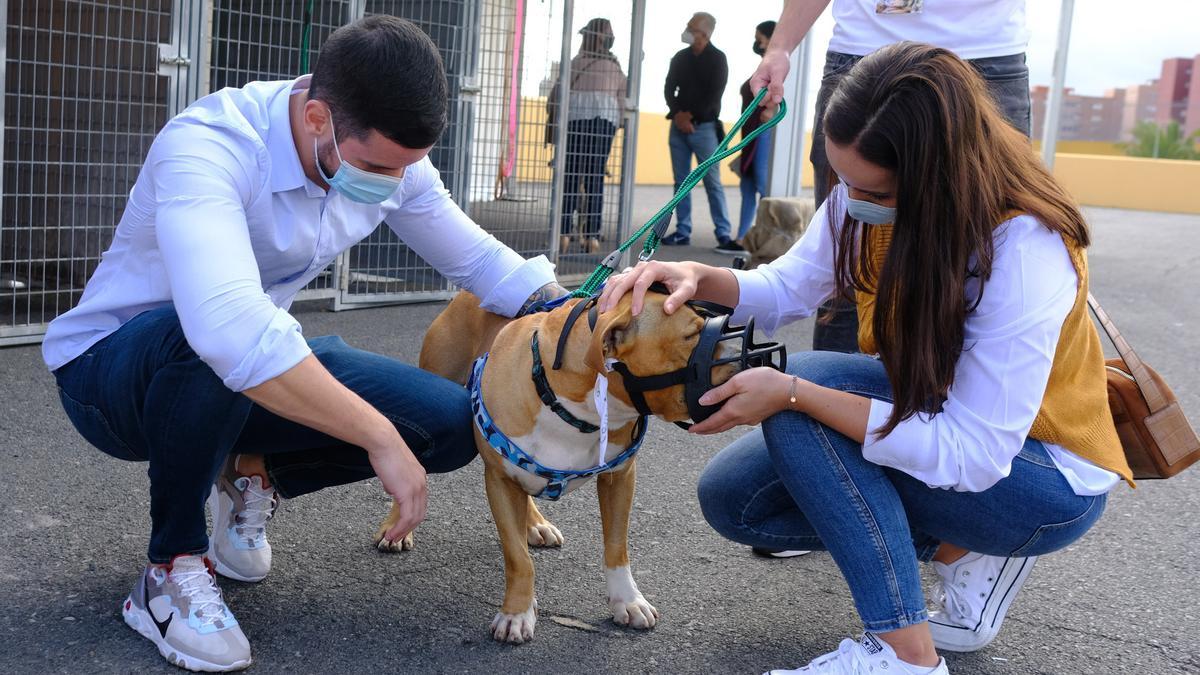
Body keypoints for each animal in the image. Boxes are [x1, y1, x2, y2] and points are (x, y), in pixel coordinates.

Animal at [374, 289, 729, 638]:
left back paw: (535, 524)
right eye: (691, 335)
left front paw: (627, 601)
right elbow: (518, 557)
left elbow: (617, 547)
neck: (573, 406)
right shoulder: (500, 480)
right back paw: (397, 528)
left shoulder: (620, 477)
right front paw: (516, 613)